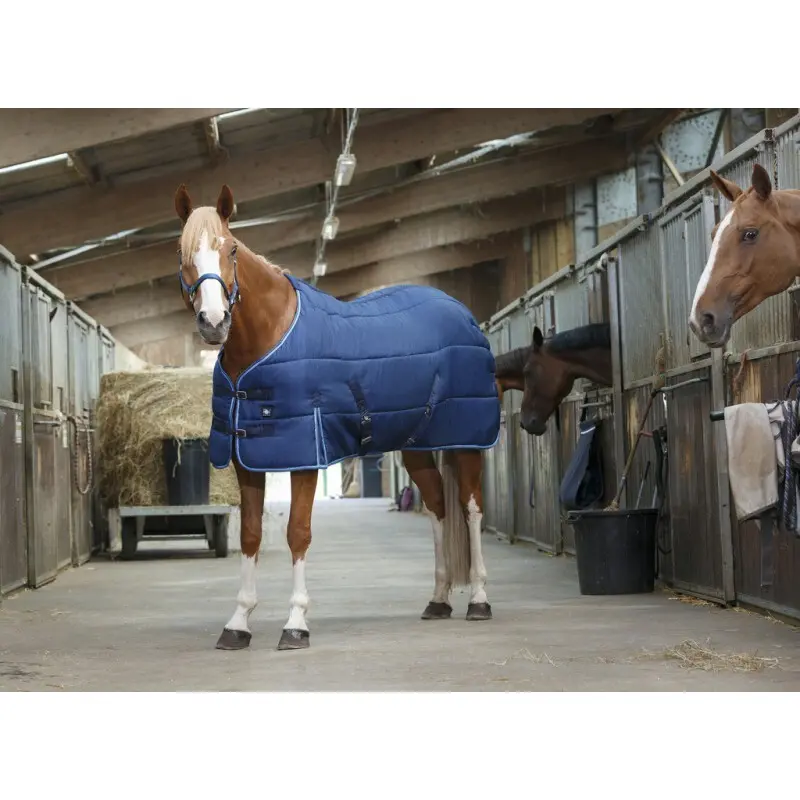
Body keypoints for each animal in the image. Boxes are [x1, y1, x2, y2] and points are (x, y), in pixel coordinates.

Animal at [173, 183, 501, 651]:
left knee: (470, 508)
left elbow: (297, 532)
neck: (266, 340)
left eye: (231, 248)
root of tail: (463, 314)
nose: (214, 322)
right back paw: (438, 600)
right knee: (438, 507)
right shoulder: (247, 458)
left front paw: (295, 623)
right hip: (416, 445)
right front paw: (238, 623)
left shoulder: (305, 455)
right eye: (182, 252)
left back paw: (478, 599)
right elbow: (251, 535)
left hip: (466, 439)